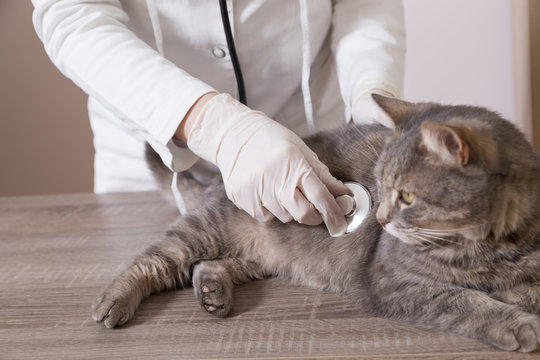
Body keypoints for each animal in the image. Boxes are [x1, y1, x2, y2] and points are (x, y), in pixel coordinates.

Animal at [89, 94, 540, 352]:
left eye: (407, 197)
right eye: (381, 186)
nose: (379, 217)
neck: (489, 248)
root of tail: (222, 177)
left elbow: (523, 289)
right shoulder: (391, 281)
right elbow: (466, 301)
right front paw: (518, 325)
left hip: (260, 257)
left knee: (211, 265)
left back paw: (213, 292)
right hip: (202, 231)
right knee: (151, 261)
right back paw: (113, 302)